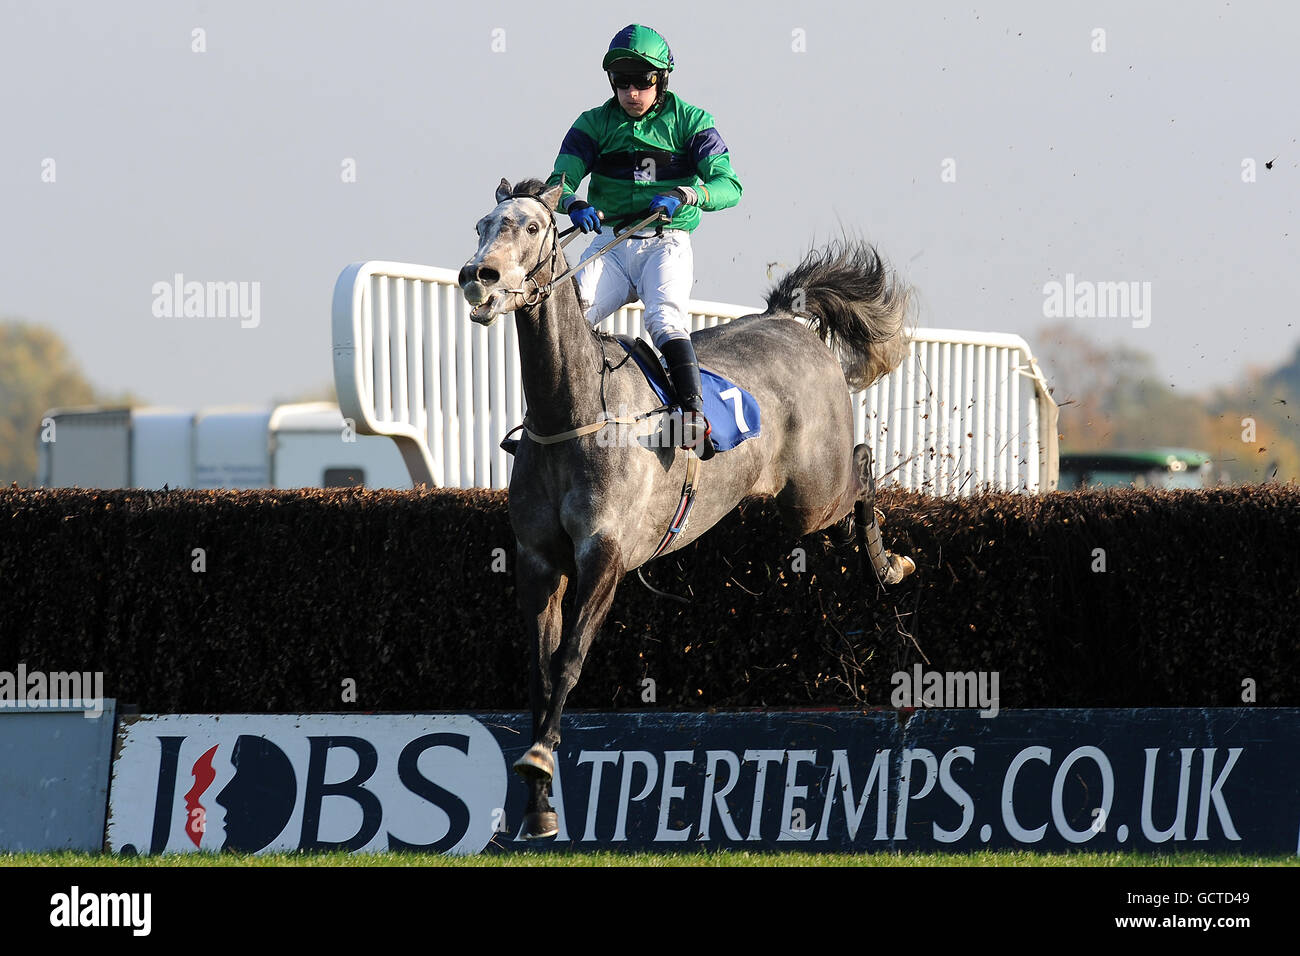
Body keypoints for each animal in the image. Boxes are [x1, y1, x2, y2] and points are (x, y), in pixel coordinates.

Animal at [457, 179, 915, 837]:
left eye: (533, 227)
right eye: (482, 225)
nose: (479, 277)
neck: (573, 412)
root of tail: (788, 320)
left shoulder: (605, 556)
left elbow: (570, 659)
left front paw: (541, 759)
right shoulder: (538, 561)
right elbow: (541, 672)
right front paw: (538, 805)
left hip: (813, 495)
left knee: (862, 464)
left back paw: (890, 563)